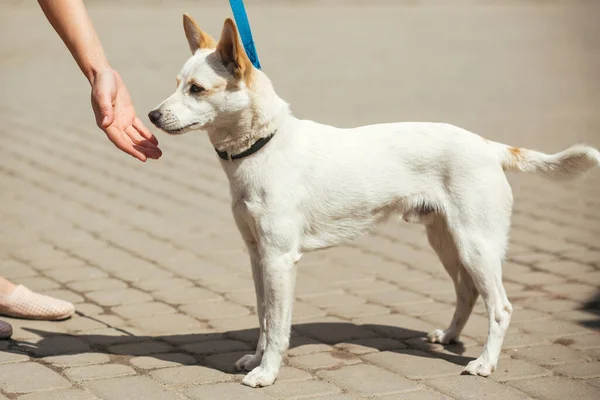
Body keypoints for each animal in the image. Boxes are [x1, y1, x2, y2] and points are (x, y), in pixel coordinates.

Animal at [149, 15, 600, 388]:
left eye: (197, 90)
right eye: (176, 84)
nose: (152, 116)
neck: (265, 145)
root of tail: (489, 146)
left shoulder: (278, 259)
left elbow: (276, 326)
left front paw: (267, 373)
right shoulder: (256, 255)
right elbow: (262, 319)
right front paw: (255, 360)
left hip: (476, 245)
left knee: (501, 307)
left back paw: (485, 364)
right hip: (446, 242)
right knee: (468, 293)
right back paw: (449, 337)